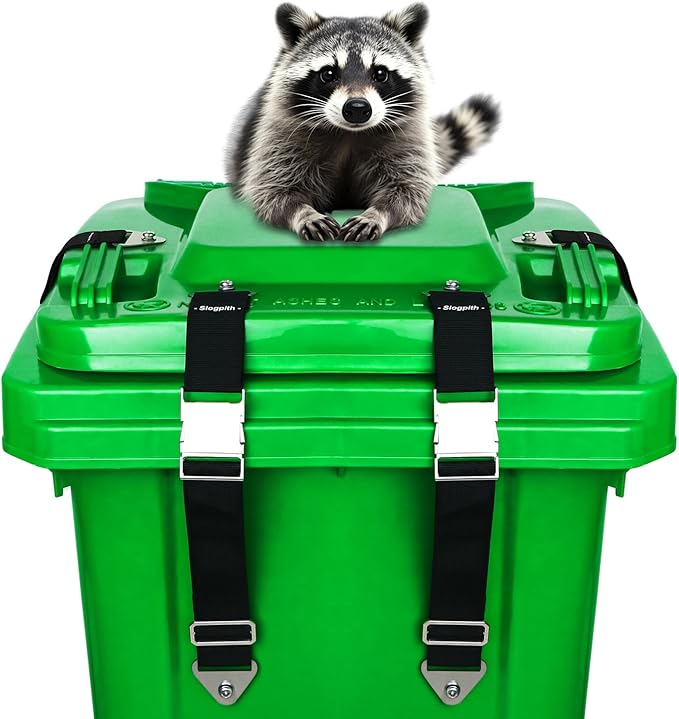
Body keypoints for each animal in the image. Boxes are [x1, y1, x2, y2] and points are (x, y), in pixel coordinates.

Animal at [228, 3, 500, 242]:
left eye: (380, 73)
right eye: (328, 73)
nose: (357, 109)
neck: (349, 133)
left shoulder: (408, 137)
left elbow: (406, 192)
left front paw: (377, 214)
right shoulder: (280, 136)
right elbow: (273, 191)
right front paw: (304, 213)